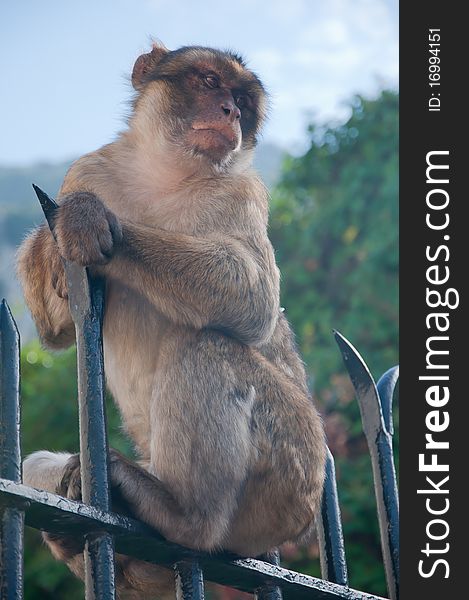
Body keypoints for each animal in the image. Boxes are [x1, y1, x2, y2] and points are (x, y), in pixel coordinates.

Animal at [18, 41, 326, 596]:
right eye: (209, 82)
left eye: (242, 100)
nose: (229, 112)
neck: (163, 177)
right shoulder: (88, 168)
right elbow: (56, 331)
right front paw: (58, 238)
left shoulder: (242, 191)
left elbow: (254, 298)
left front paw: (89, 219)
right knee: (39, 466)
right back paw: (98, 546)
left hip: (291, 471)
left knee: (208, 347)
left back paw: (185, 517)